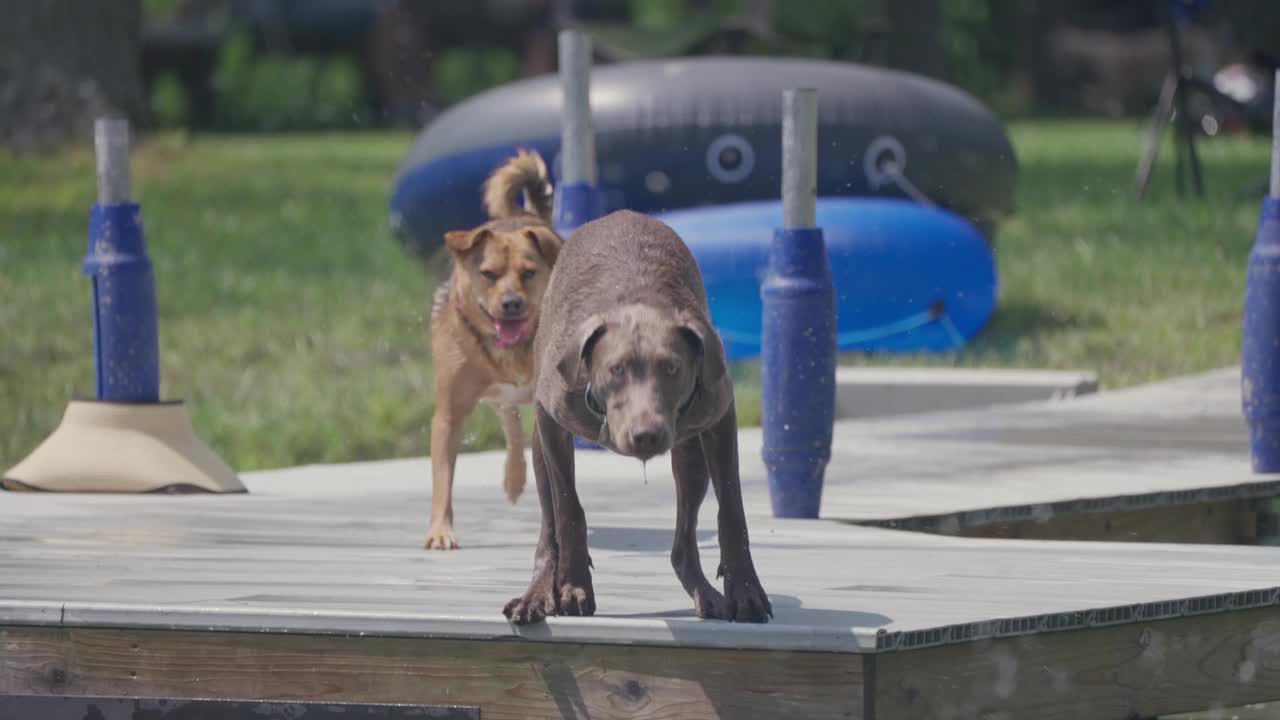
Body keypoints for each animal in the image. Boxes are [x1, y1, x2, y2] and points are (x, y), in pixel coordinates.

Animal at [427, 148, 563, 545]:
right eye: (488, 274)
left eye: (528, 273)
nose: (512, 304)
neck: (511, 350)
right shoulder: (448, 414)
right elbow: (443, 476)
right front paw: (441, 531)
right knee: (511, 425)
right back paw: (514, 478)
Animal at [504, 208, 773, 622]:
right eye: (616, 369)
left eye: (672, 368)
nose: (646, 435)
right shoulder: (553, 420)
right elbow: (568, 508)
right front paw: (574, 586)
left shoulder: (719, 414)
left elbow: (732, 508)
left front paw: (745, 591)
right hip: (538, 454)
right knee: (549, 524)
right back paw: (535, 595)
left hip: (690, 458)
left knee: (682, 542)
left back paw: (707, 595)